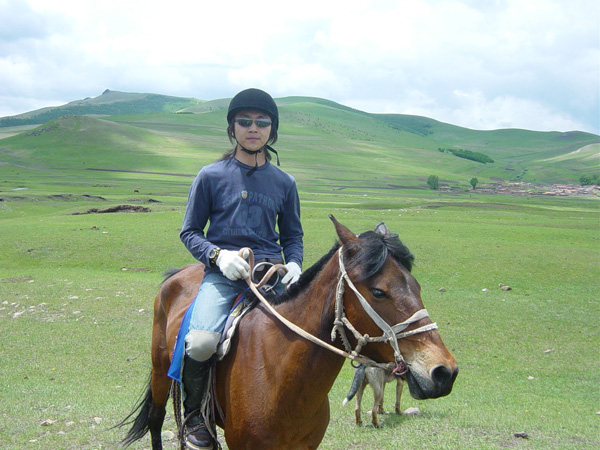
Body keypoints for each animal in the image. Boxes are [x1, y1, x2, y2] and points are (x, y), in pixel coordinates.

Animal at [122, 216, 460, 448]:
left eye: (417, 286)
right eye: (379, 292)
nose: (444, 371)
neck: (281, 376)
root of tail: (179, 274)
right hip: (160, 372)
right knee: (155, 422)